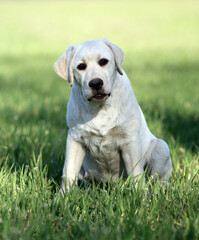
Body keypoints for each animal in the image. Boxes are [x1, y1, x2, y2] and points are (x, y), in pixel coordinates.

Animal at [53, 39, 172, 193]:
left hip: (162, 148)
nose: (96, 83)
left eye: (103, 61)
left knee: (157, 181)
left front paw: (139, 195)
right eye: (81, 66)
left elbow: (136, 173)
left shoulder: (130, 140)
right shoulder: (75, 138)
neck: (100, 107)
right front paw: (63, 196)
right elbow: (69, 171)